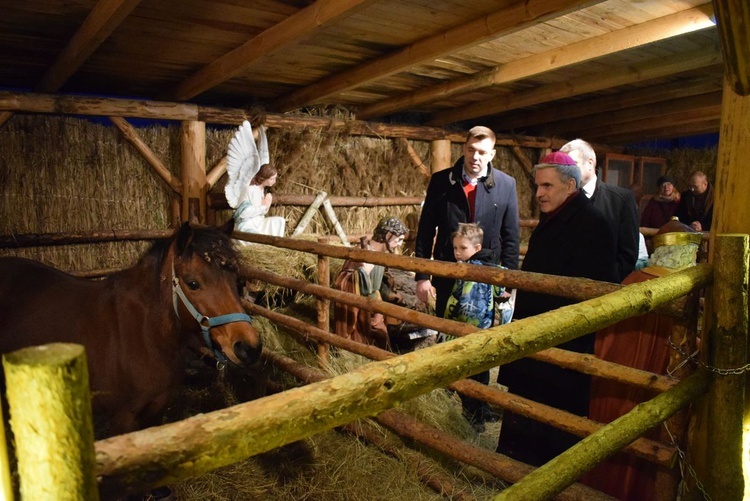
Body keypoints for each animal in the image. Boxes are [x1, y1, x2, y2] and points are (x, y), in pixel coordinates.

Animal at [0, 220, 264, 434]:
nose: (249, 347)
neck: (144, 333)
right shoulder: (123, 419)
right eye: (193, 283)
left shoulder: (155, 411)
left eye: (236, 280)